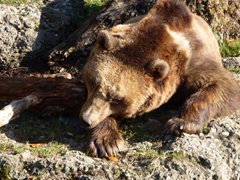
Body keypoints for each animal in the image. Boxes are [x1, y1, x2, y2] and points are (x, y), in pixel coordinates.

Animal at [80, 0, 240, 157]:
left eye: (117, 99)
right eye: (93, 82)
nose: (86, 120)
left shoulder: (197, 62)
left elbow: (222, 86)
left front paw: (181, 123)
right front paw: (106, 142)